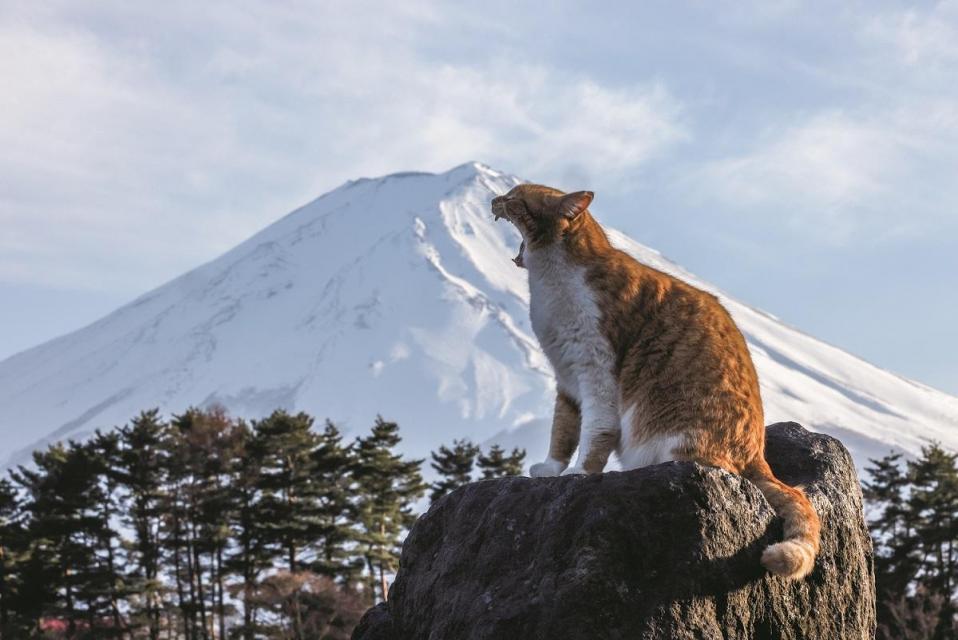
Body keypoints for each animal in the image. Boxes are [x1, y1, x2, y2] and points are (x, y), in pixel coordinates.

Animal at [492, 184, 820, 580]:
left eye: (516, 197)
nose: (495, 199)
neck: (547, 282)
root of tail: (758, 456)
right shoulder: (567, 380)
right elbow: (563, 431)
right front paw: (551, 469)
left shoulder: (596, 369)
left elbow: (594, 433)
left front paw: (580, 472)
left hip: (673, 434)